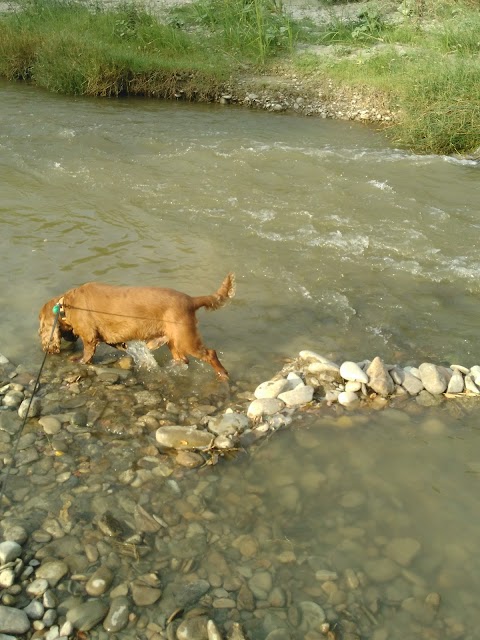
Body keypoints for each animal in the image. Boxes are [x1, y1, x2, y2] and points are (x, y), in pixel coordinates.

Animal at [39, 272, 236, 378]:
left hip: (186, 338)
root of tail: (191, 300)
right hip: (174, 340)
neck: (66, 305)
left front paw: (77, 360)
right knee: (182, 359)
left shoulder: (89, 337)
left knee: (210, 354)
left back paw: (223, 375)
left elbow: (87, 355)